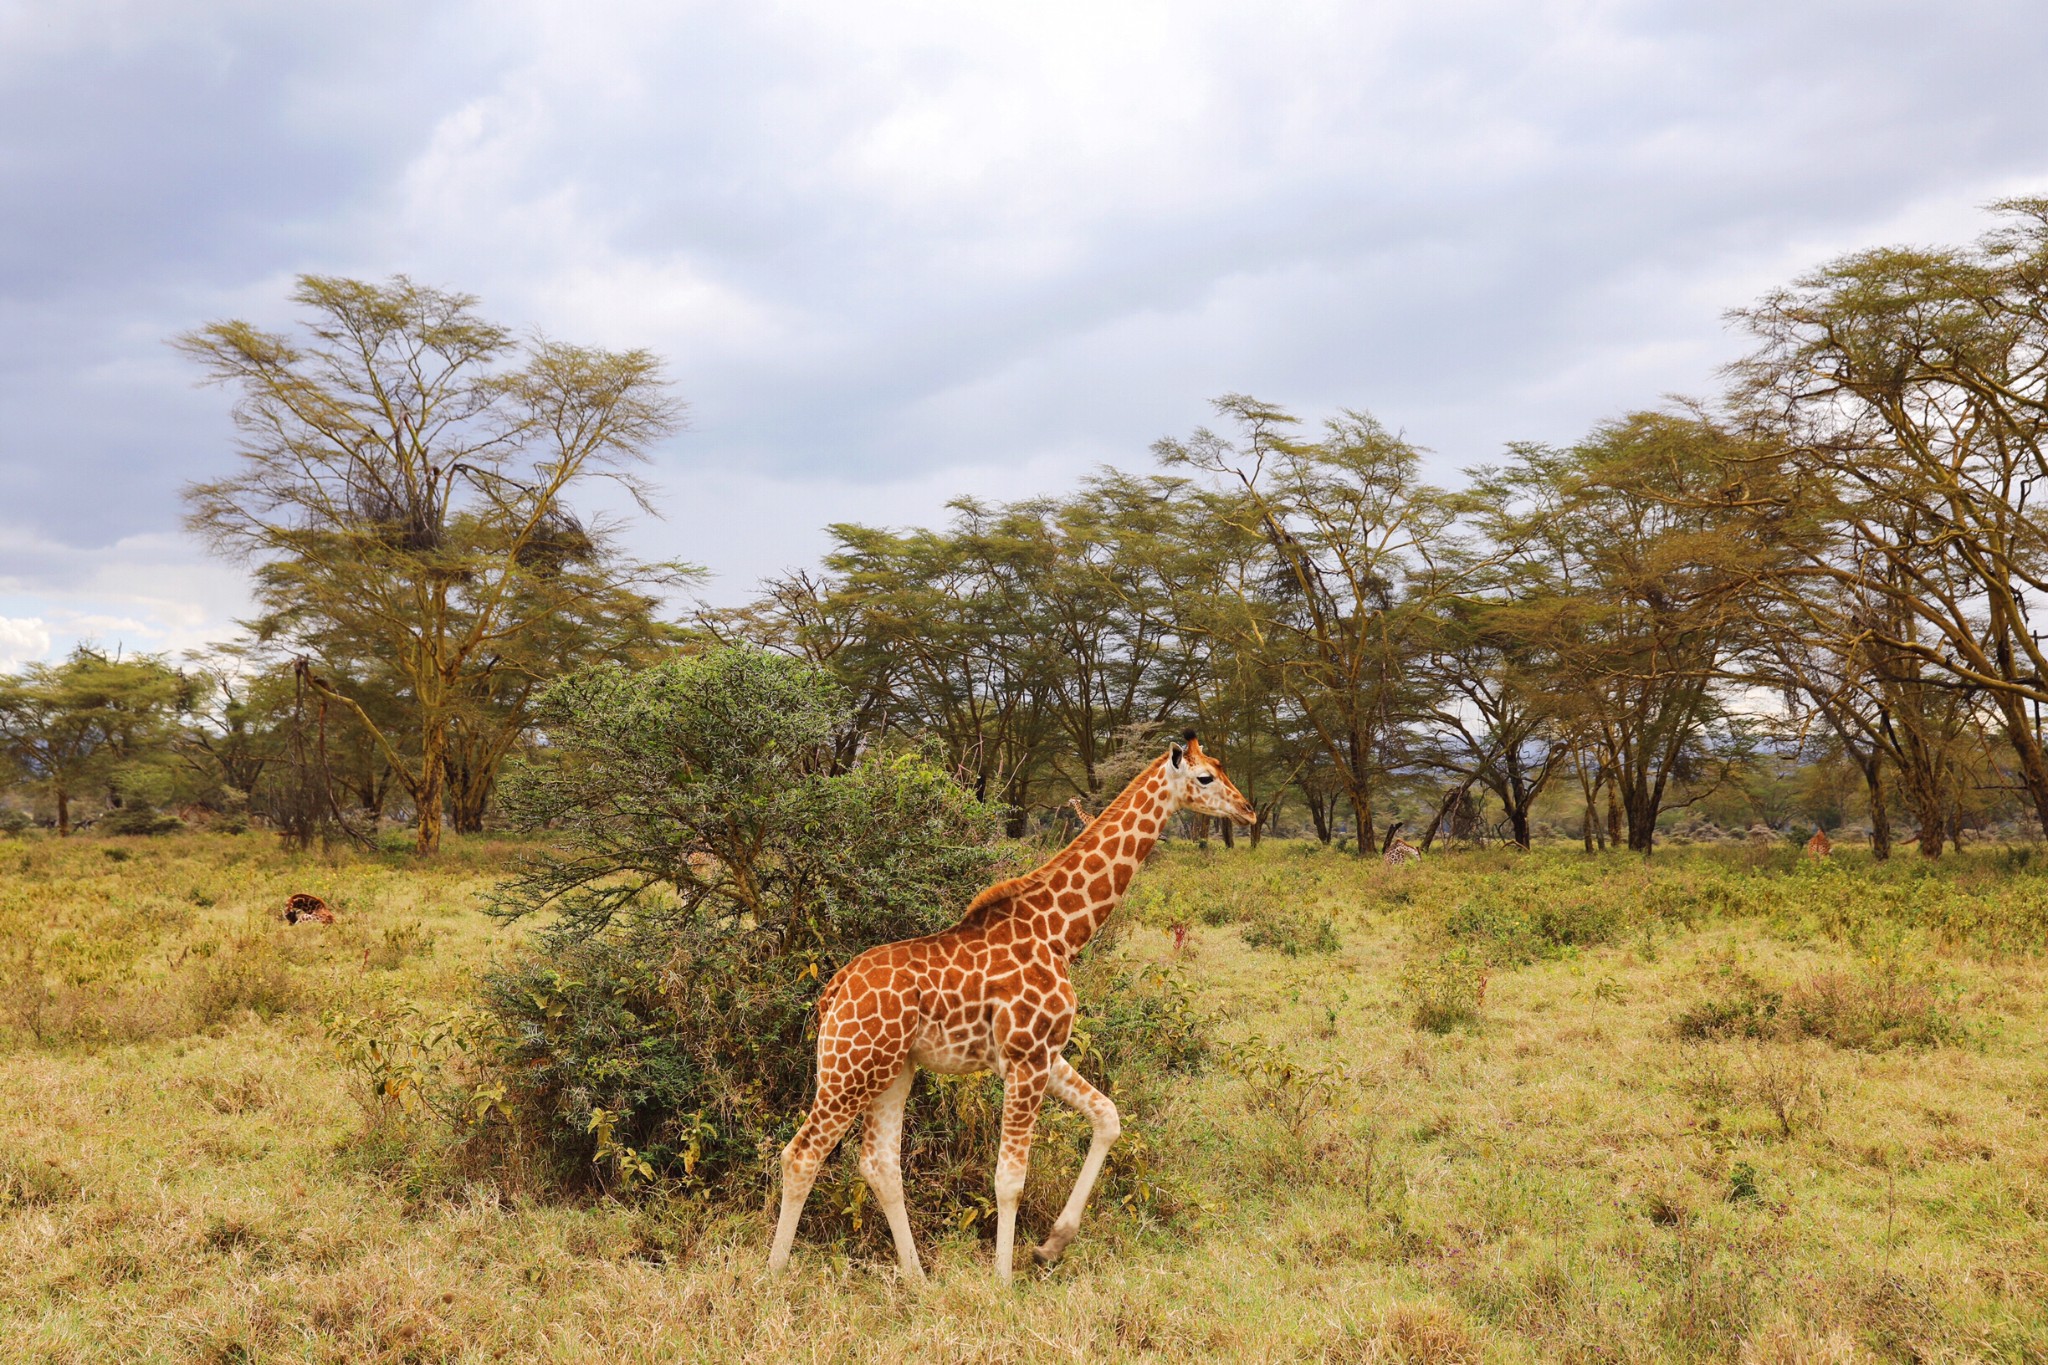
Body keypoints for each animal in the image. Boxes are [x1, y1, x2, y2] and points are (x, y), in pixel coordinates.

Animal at [770, 732, 1253, 1285]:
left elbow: (1108, 1116)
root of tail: (831, 993)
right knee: (801, 1154)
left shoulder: (1044, 1054)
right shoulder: (1026, 1058)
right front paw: (1003, 1278)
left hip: (893, 1069)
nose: (1248, 810)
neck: (1061, 933)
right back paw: (774, 1272)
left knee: (879, 1165)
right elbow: (1010, 1178)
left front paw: (1051, 1246)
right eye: (1205, 777)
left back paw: (918, 1279)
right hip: (850, 1068)